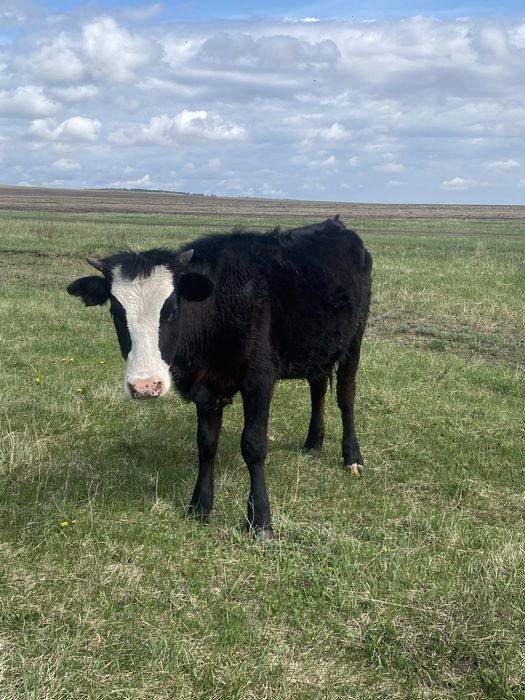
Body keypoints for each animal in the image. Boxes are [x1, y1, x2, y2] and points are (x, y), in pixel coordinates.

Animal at [67, 216, 372, 539]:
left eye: (172, 310)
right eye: (115, 312)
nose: (145, 386)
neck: (221, 306)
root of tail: (336, 225)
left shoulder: (259, 381)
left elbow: (253, 445)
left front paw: (260, 520)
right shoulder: (205, 388)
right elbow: (206, 443)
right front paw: (199, 505)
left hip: (354, 339)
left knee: (346, 396)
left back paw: (352, 457)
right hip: (317, 347)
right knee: (318, 387)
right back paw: (313, 442)